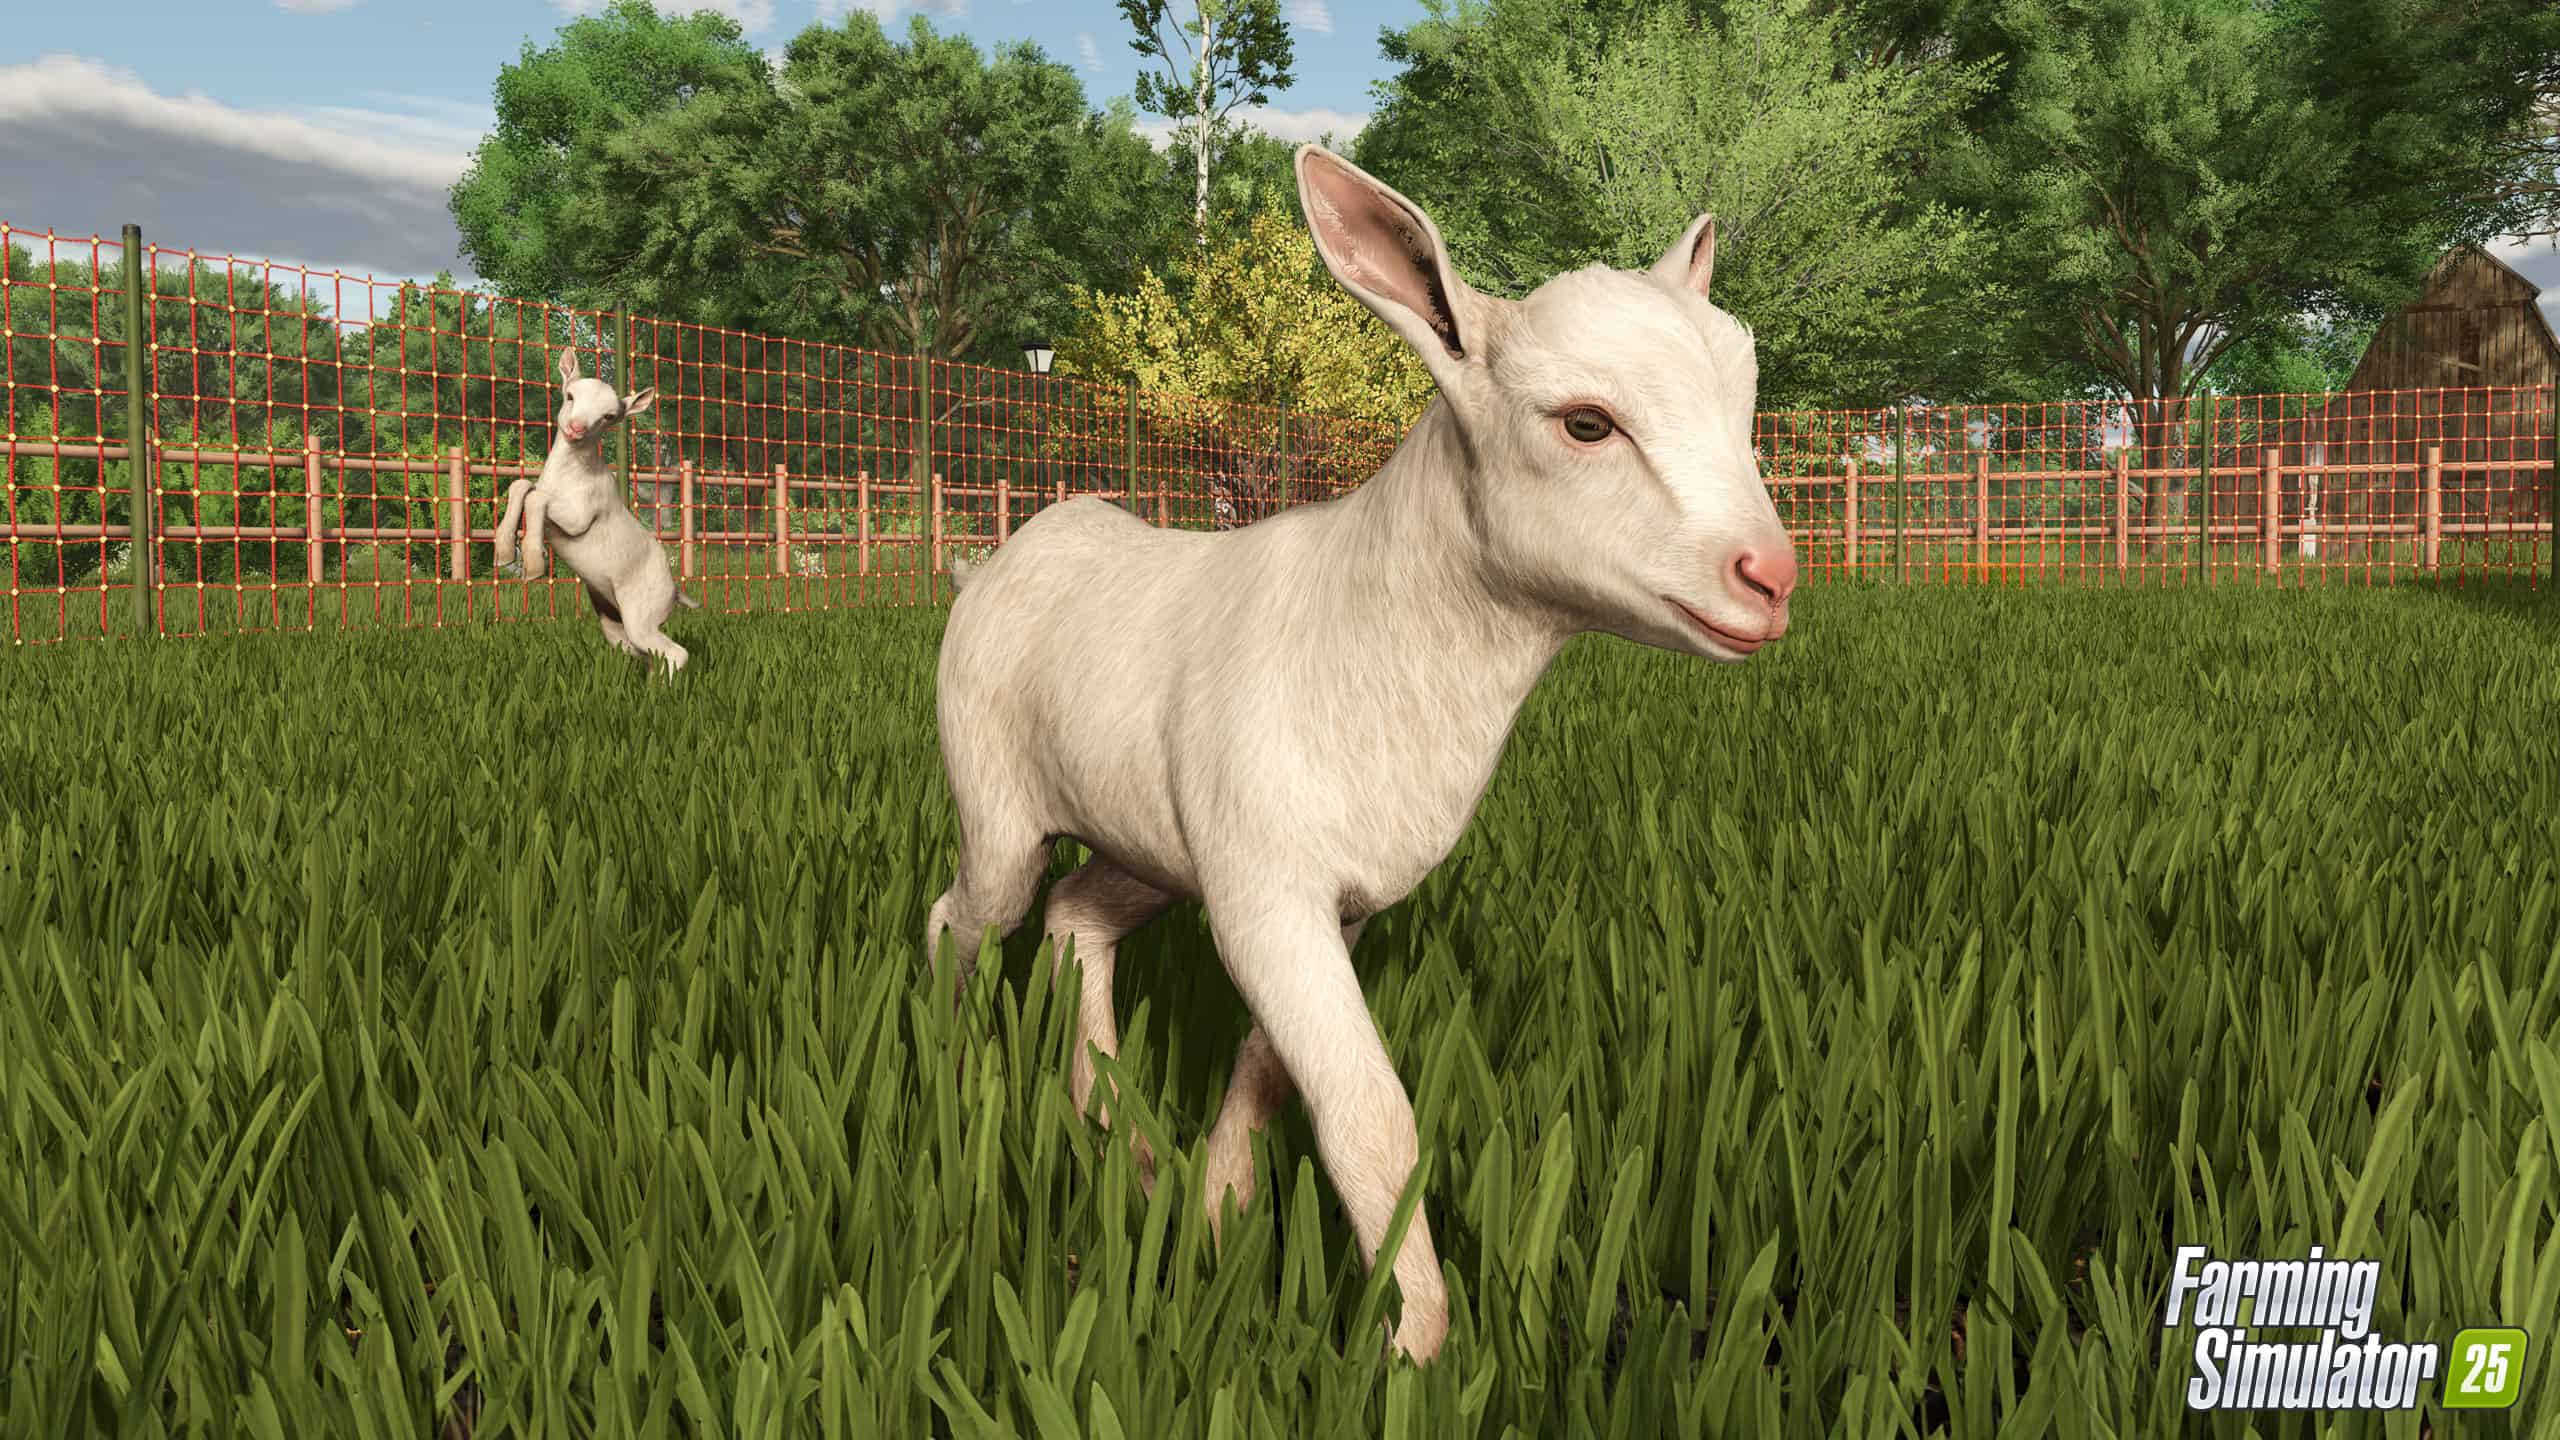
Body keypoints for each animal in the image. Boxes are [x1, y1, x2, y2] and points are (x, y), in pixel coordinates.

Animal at [494, 348, 699, 675]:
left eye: (609, 417)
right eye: (569, 396)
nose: (576, 428)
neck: (568, 478)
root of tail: (675, 590)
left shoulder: (580, 516)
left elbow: (537, 498)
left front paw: (533, 563)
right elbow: (522, 485)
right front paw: (504, 552)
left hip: (642, 613)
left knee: (676, 653)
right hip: (613, 619)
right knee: (646, 652)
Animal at [924, 145, 1799, 1365]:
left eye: (1743, 395)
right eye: (1586, 423)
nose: (1769, 578)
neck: (1372, 632)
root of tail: (1002, 557)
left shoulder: (1333, 901)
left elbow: (1269, 1076)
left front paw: (1217, 1212)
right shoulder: (1267, 891)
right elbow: (1369, 1114)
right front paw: (1415, 1350)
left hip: (1148, 840)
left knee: (1072, 918)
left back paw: (1116, 1136)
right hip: (998, 798)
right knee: (968, 917)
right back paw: (961, 1082)